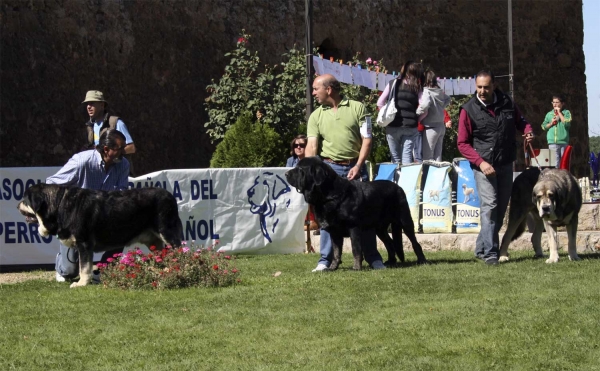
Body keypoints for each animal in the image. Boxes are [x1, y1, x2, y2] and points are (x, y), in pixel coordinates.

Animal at [286, 157, 426, 270]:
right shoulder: (334, 231)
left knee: (415, 242)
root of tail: (398, 187)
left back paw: (422, 260)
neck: (329, 195)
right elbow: (336, 252)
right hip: (379, 228)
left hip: (404, 220)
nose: (286, 173)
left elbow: (356, 249)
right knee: (390, 242)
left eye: (300, 169)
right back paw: (390, 262)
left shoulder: (353, 227)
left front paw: (357, 267)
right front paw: (332, 267)